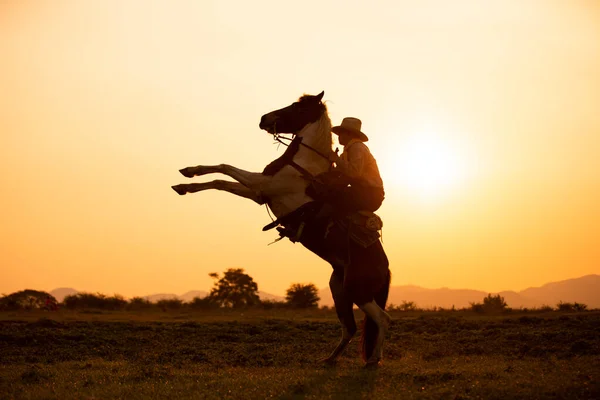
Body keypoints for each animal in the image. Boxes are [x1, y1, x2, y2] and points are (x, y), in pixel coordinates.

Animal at [171, 91, 392, 366]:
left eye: (297, 107)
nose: (264, 118)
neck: (303, 165)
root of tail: (386, 268)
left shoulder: (260, 184)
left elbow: (225, 169)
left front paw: (186, 178)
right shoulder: (257, 192)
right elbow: (220, 178)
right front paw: (186, 179)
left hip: (358, 291)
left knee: (381, 319)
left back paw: (373, 360)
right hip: (340, 291)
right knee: (350, 327)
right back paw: (330, 359)